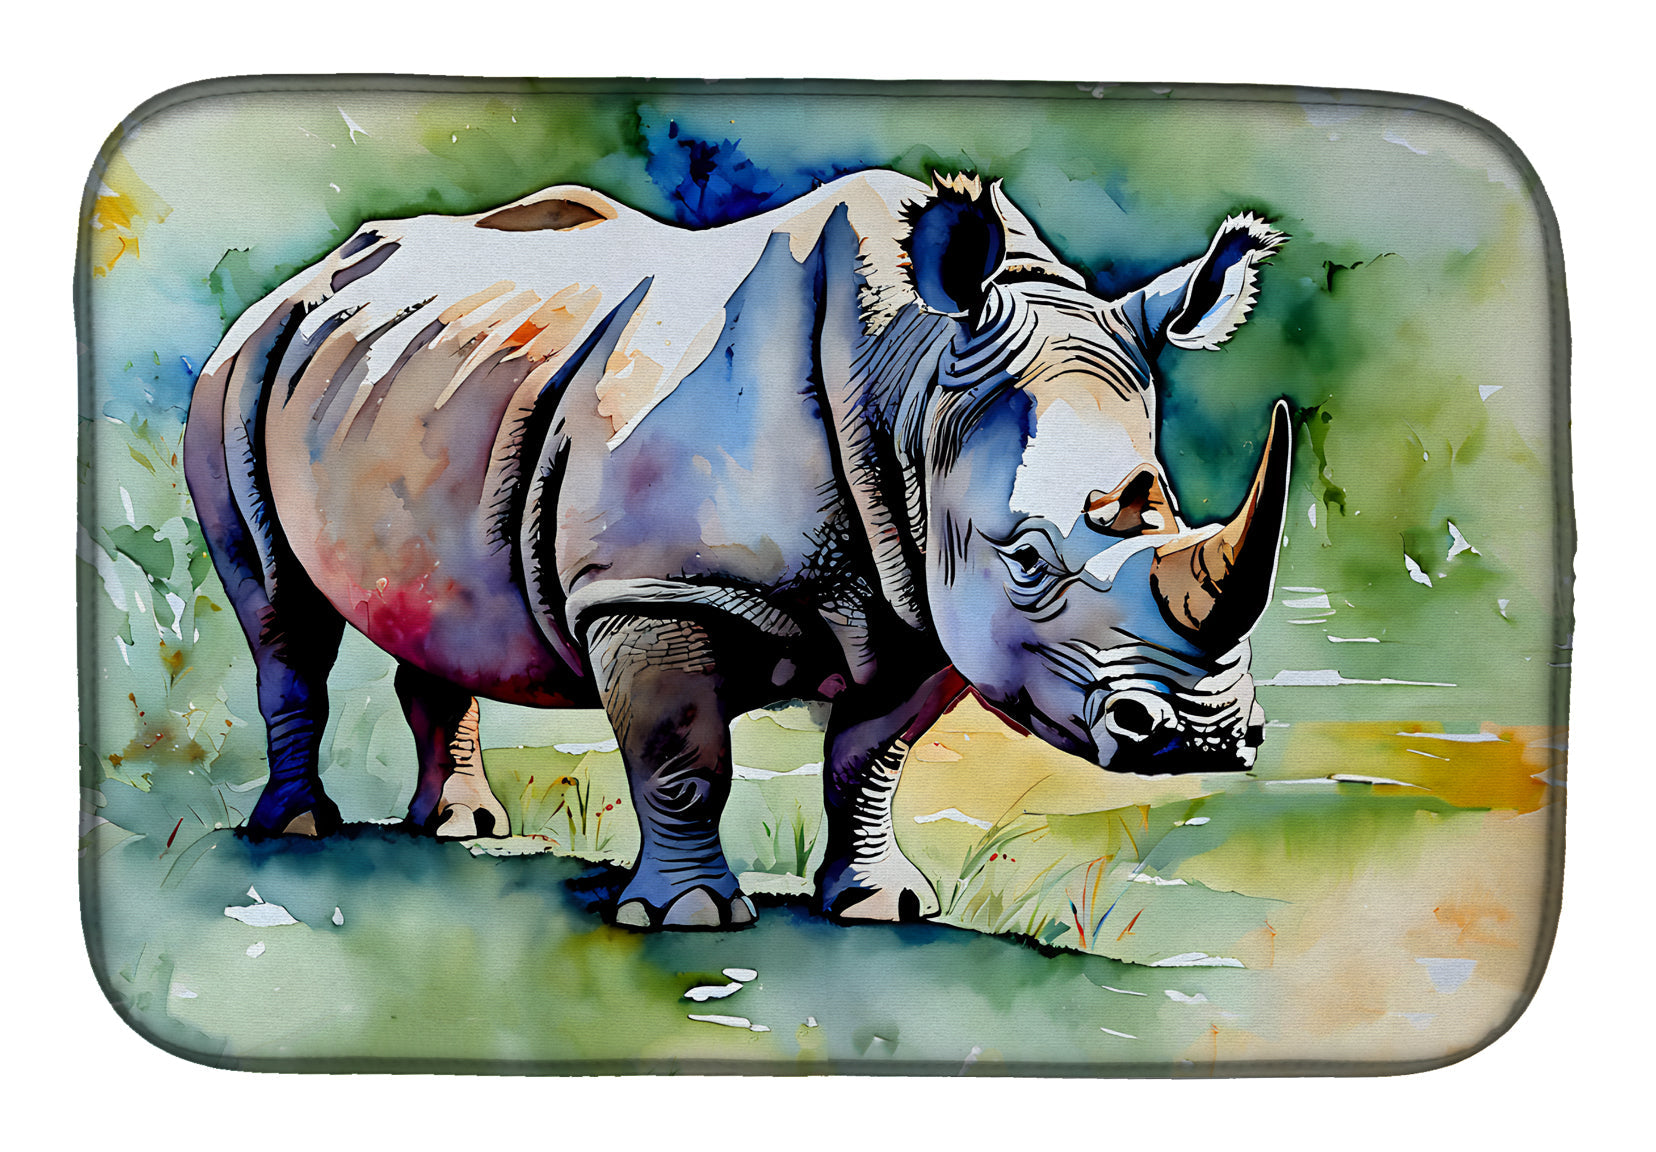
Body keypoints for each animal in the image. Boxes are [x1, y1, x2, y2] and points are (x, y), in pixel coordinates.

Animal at [184, 169, 1291, 929]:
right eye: (1025, 560)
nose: (1200, 740)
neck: (912, 383)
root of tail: (301, 282)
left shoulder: (921, 600)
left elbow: (871, 761)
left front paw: (882, 906)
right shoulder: (654, 588)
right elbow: (684, 758)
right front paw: (688, 918)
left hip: (402, 385)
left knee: (436, 611)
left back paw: (465, 830)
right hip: (239, 368)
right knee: (280, 614)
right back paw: (297, 830)